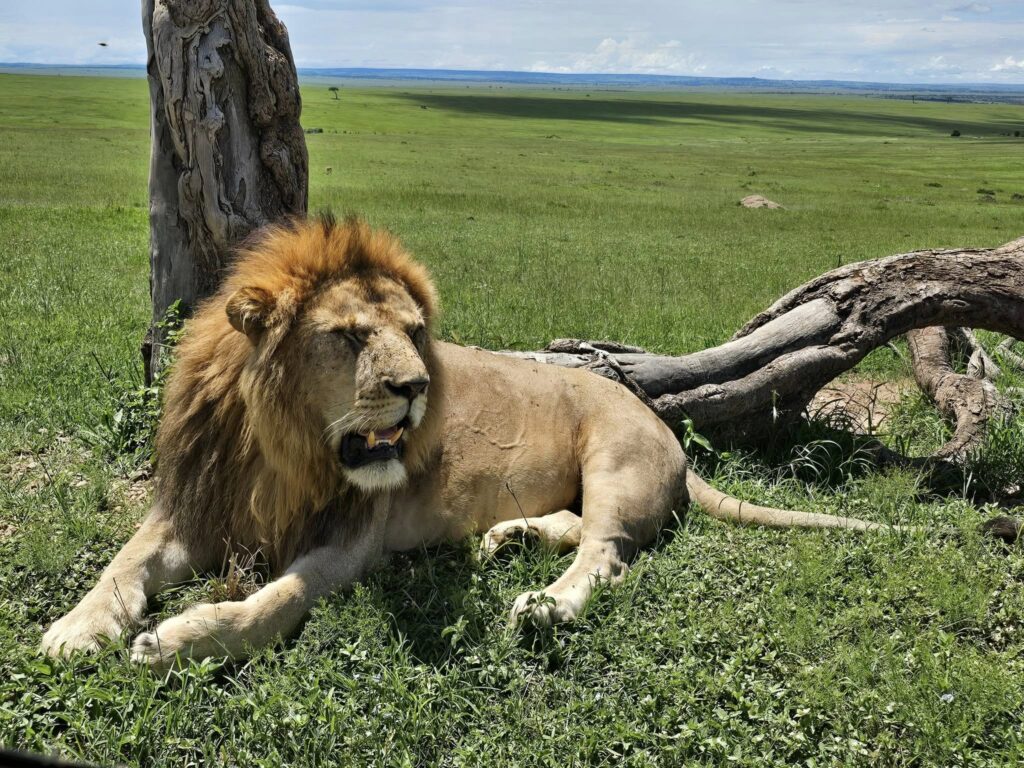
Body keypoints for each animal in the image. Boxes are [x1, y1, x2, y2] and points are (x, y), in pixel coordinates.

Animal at [42, 215, 889, 667]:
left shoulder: (348, 544)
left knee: (606, 552)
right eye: (349, 336)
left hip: (615, 460)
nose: (417, 386)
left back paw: (544, 606)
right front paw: (75, 628)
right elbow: (122, 565)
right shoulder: (193, 505)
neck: (280, 450)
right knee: (576, 527)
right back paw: (509, 538)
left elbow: (273, 601)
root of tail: (658, 419)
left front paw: (177, 639)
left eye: (416, 331)